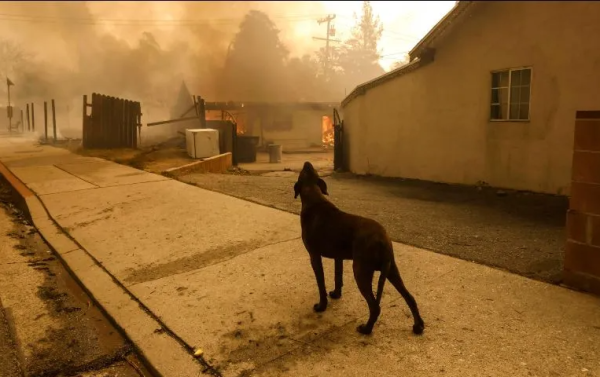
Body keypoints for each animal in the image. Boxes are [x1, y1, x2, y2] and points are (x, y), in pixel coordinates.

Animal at [292, 162, 424, 334]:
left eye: (303, 171)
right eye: (310, 170)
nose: (307, 162)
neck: (314, 197)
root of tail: (382, 239)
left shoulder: (314, 256)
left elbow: (321, 283)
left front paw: (321, 306)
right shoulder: (338, 257)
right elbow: (338, 277)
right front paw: (336, 294)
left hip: (361, 271)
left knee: (375, 306)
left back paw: (367, 329)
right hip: (391, 270)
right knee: (410, 297)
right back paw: (418, 325)